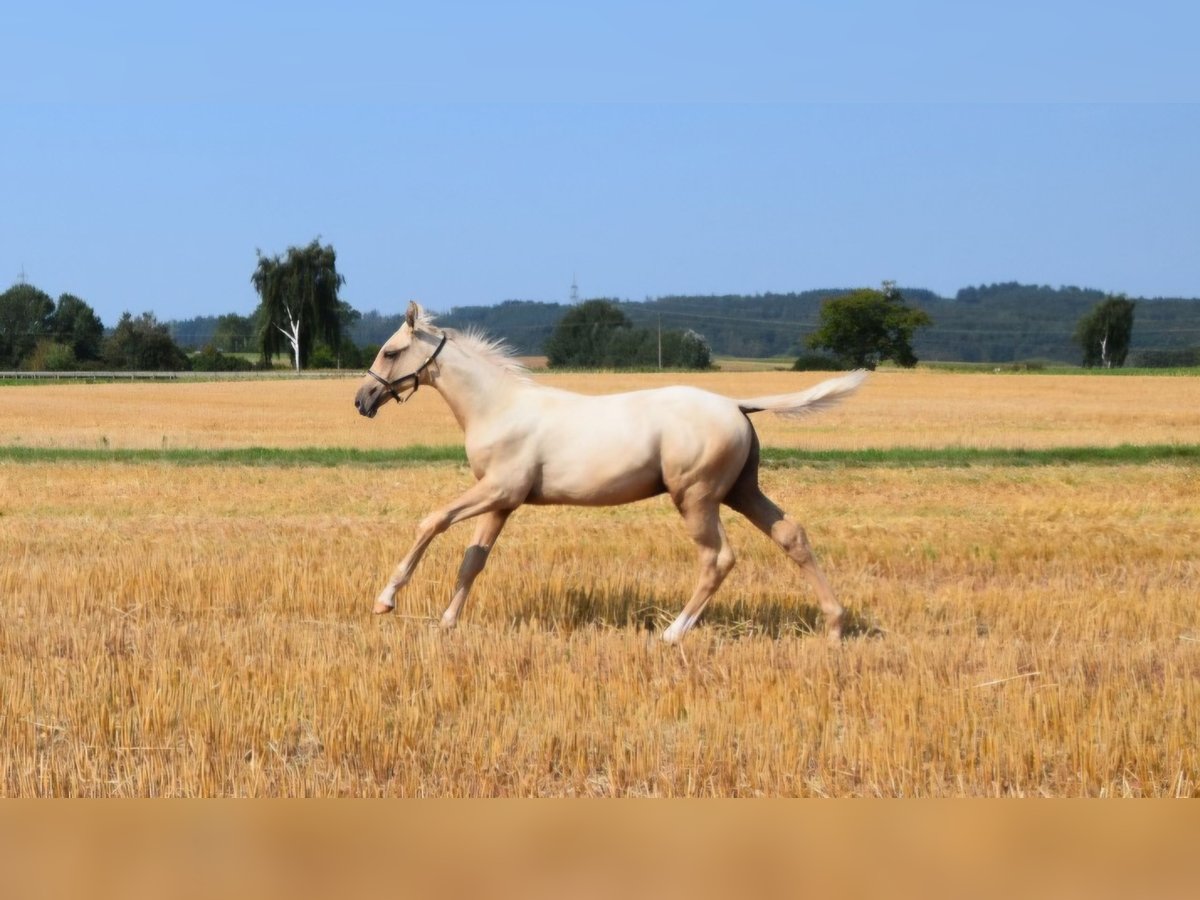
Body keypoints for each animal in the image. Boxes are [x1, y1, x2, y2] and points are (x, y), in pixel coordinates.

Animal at [350, 307, 868, 643]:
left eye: (390, 351)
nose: (362, 400)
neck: (498, 407)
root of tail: (737, 405)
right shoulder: (502, 502)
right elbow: (473, 559)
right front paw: (447, 623)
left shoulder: (496, 489)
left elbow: (432, 521)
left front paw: (385, 600)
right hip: (742, 491)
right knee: (791, 535)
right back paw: (835, 626)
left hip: (696, 497)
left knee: (718, 558)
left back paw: (672, 633)